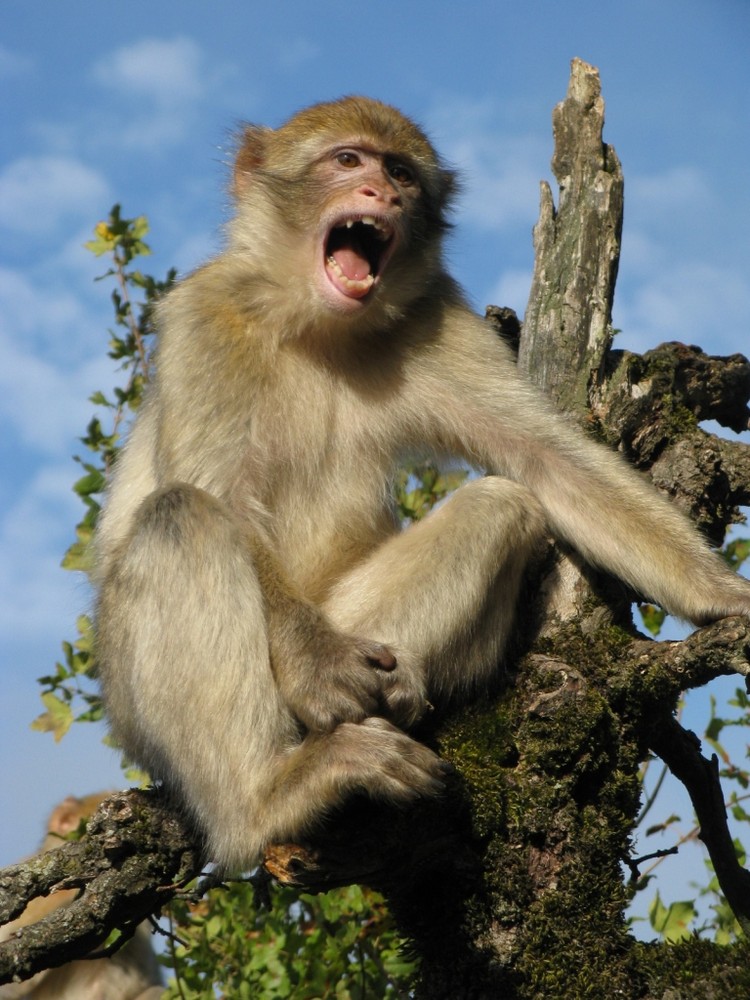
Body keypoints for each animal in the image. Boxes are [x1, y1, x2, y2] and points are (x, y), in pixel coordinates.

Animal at [94, 97, 750, 872]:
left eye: (402, 173)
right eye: (349, 160)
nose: (382, 194)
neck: (319, 329)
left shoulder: (437, 319)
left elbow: (545, 458)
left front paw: (723, 595)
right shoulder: (207, 318)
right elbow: (220, 500)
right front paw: (320, 669)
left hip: (352, 617)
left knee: (503, 506)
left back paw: (400, 692)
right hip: (136, 709)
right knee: (180, 515)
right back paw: (267, 800)